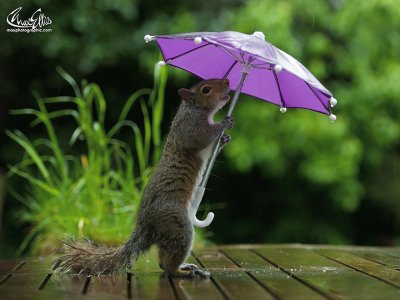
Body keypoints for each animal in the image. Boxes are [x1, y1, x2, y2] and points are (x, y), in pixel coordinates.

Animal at [54, 78, 233, 278]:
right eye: (206, 89)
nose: (227, 81)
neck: (193, 109)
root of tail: (145, 225)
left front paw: (225, 139)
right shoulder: (190, 128)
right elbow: (203, 136)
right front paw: (223, 123)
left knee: (164, 259)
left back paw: (184, 267)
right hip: (176, 222)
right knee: (169, 264)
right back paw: (183, 272)